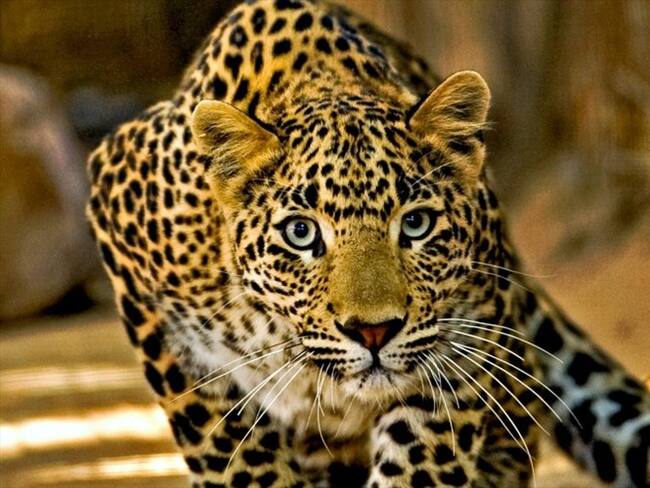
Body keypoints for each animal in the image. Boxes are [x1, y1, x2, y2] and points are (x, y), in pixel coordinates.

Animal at [86, 0, 650, 486]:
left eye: (416, 224)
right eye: (300, 233)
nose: (374, 332)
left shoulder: (466, 335)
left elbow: (423, 453)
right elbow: (230, 450)